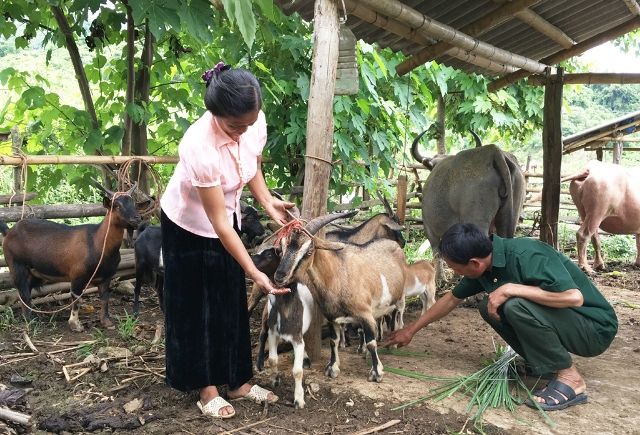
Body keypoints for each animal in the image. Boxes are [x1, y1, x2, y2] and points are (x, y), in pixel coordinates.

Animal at [0, 183, 142, 330]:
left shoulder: (106, 277)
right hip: (16, 265)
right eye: (117, 205)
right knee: (23, 292)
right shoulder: (77, 276)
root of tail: (8, 232)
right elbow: (76, 298)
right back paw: (29, 321)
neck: (97, 242)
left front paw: (106, 322)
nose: (137, 218)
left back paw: (32, 318)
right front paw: (75, 325)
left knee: (26, 293)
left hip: (33, 273)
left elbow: (104, 298)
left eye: (133, 204)